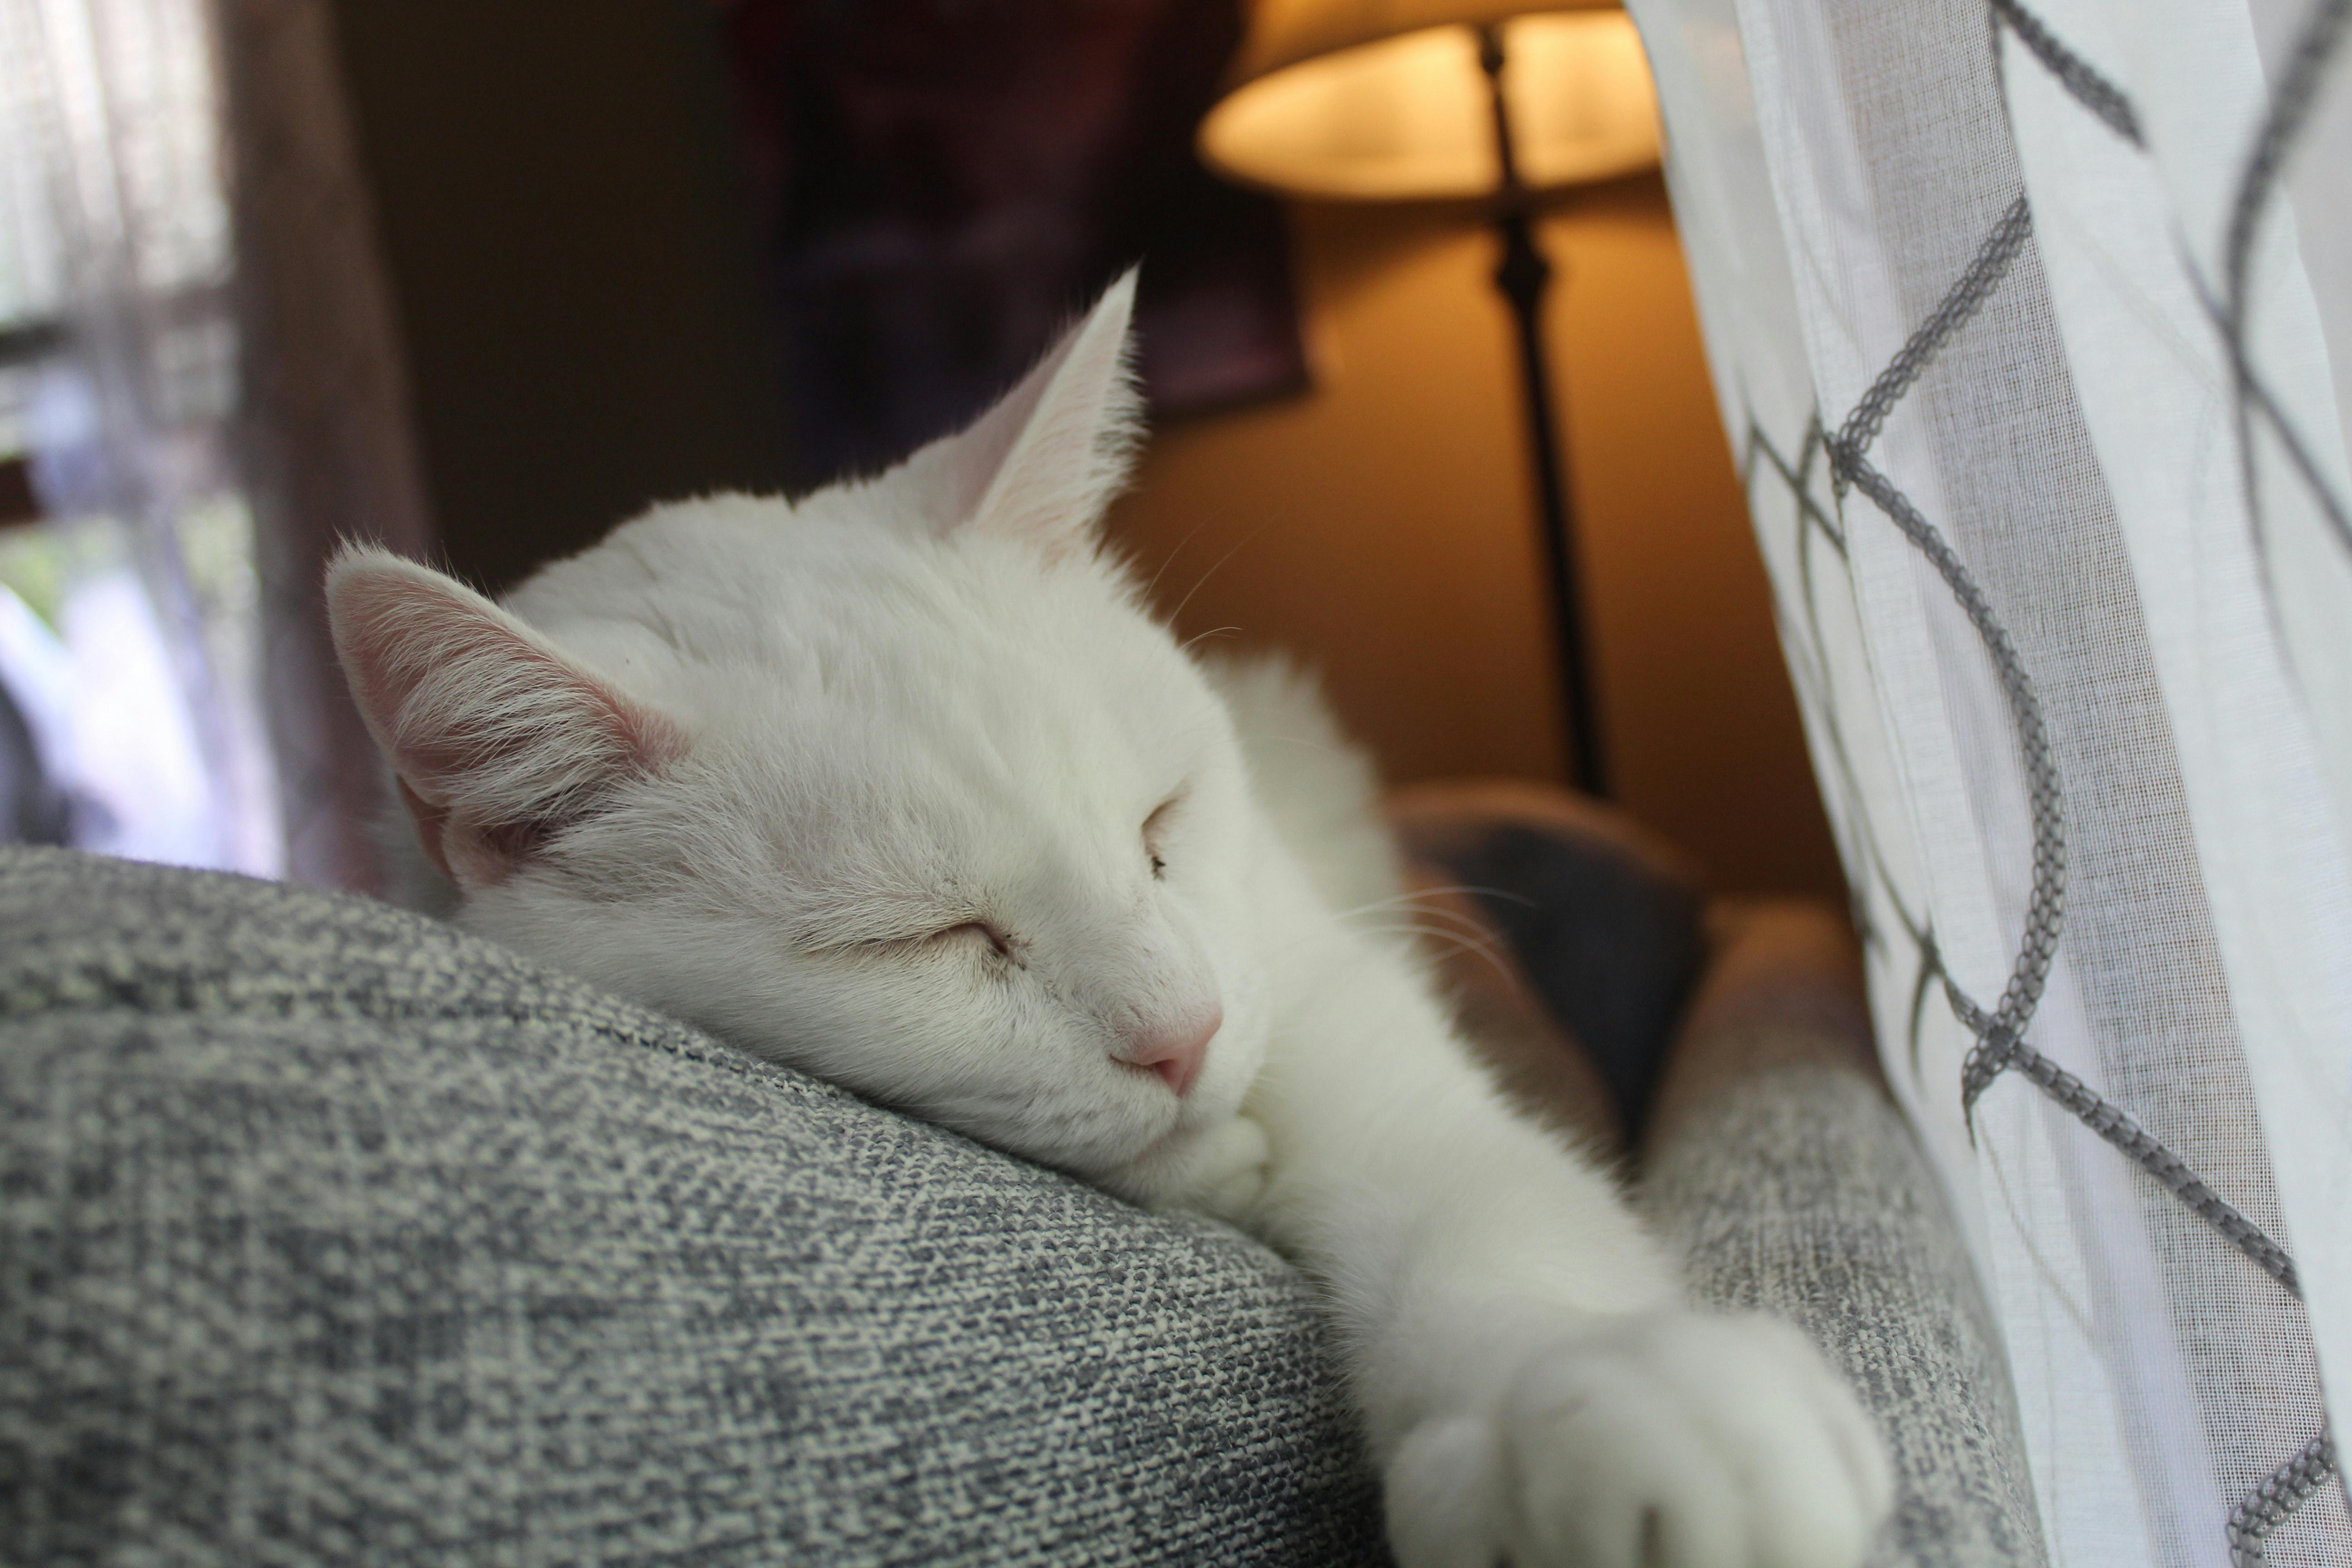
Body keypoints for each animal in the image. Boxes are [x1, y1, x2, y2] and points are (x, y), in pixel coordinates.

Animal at [322, 273, 1891, 1568]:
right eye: (928, 939)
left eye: (1160, 826)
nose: (1185, 1035)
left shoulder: (1328, 1004)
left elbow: (1483, 1212)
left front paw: (1614, 1401)